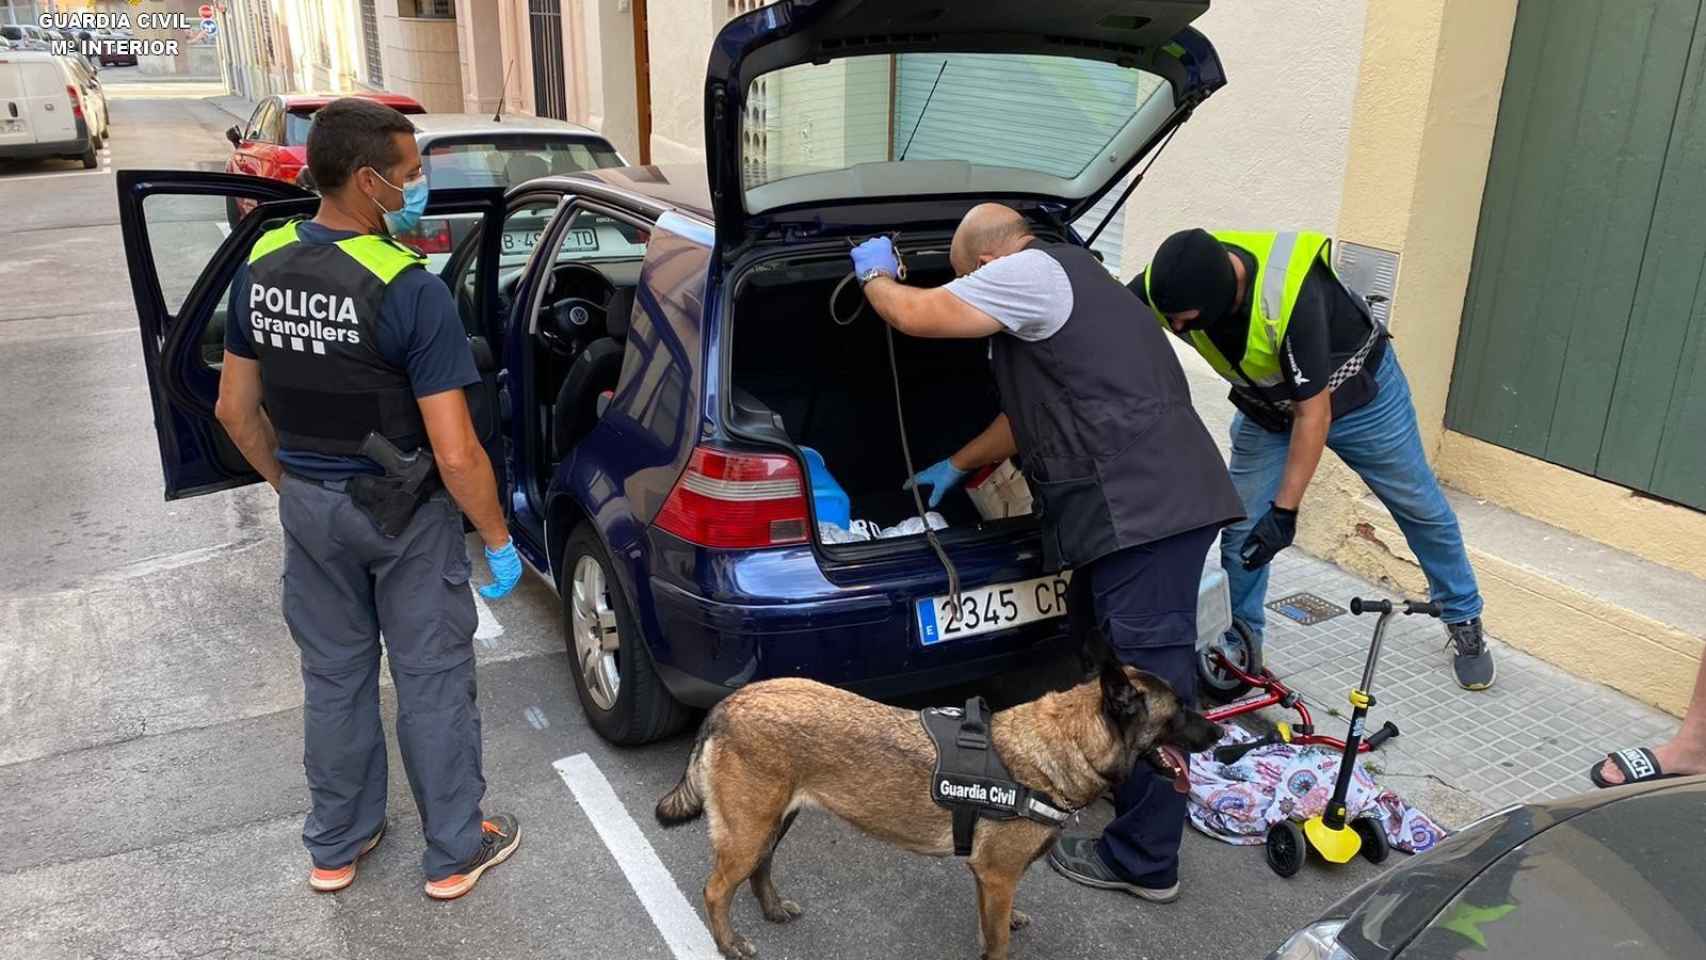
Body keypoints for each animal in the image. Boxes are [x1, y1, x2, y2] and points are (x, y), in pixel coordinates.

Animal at [655, 661, 1228, 960]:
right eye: (1180, 711)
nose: (1221, 735)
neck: (1066, 743)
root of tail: (729, 704)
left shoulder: (987, 878)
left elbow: (990, 924)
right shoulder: (997, 876)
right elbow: (997, 944)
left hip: (771, 821)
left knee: (761, 868)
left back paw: (772, 909)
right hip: (749, 829)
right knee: (716, 890)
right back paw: (729, 944)